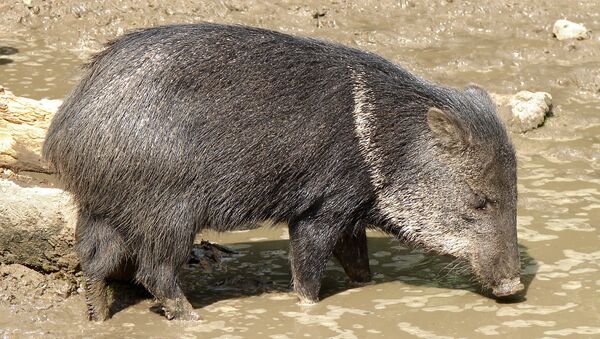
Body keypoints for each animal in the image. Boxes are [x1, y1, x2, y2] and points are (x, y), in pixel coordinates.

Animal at [42, 23, 524, 322]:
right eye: (480, 201)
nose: (514, 288)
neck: (381, 145)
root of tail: (66, 131)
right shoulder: (322, 208)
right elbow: (307, 267)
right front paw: (309, 310)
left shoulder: (351, 212)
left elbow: (358, 262)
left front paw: (367, 289)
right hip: (166, 211)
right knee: (154, 272)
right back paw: (192, 317)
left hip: (101, 207)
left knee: (93, 262)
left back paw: (97, 318)